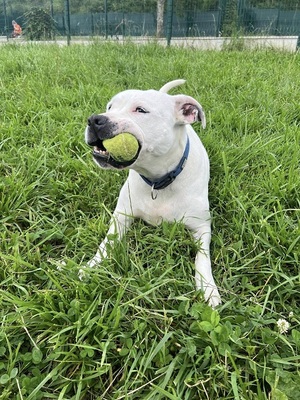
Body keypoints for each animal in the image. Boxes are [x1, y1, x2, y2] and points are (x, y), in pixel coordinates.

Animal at [84, 79, 220, 308]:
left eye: (141, 110)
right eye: (110, 107)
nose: (94, 119)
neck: (158, 181)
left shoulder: (201, 227)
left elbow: (202, 257)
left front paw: (208, 287)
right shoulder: (121, 216)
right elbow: (107, 241)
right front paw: (92, 264)